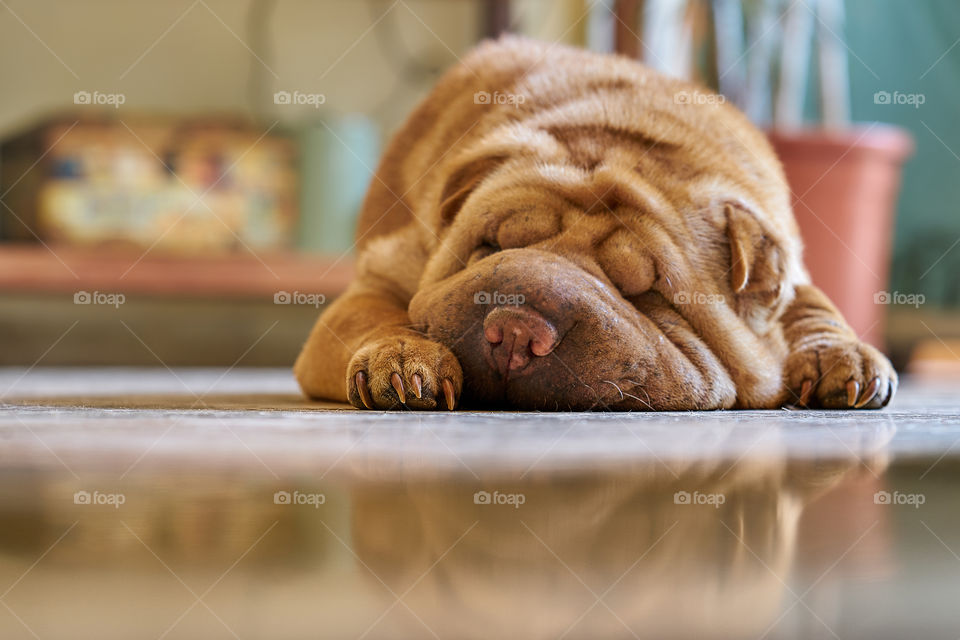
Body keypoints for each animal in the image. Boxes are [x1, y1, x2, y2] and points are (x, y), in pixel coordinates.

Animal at [294, 37, 900, 412]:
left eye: (649, 293)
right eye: (490, 246)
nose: (515, 329)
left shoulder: (790, 269)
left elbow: (813, 308)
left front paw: (841, 357)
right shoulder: (383, 276)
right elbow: (372, 317)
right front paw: (401, 356)